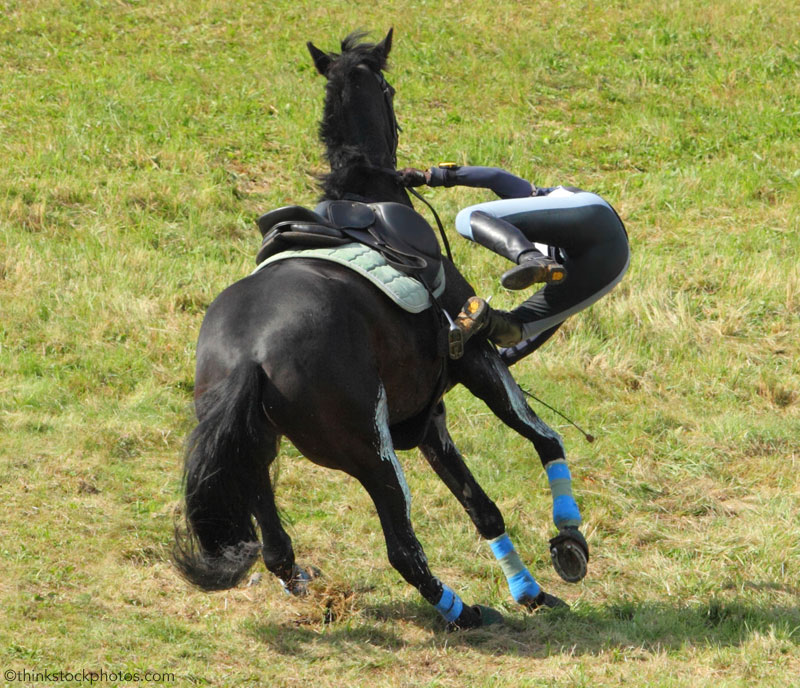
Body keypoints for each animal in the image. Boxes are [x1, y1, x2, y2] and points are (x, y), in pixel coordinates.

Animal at [175, 28, 588, 628]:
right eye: (390, 90)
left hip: (256, 452)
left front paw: (530, 589)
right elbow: (543, 436)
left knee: (277, 550)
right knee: (401, 547)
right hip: (372, 453)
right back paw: (461, 611)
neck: (368, 195)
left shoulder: (429, 415)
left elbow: (482, 507)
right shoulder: (476, 361)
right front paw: (569, 537)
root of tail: (249, 353)